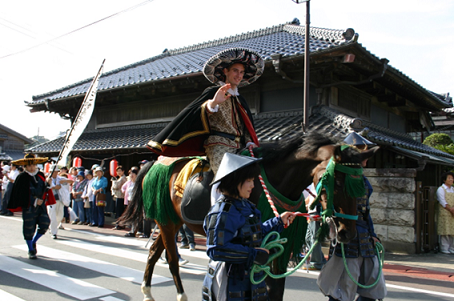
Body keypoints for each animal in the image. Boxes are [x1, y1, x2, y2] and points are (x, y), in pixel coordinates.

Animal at [120, 130, 376, 300]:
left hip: (170, 221)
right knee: (172, 260)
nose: (347, 232)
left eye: (361, 185)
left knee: (154, 253)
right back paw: (180, 294)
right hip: (167, 221)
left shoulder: (280, 244)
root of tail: (157, 163)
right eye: (338, 182)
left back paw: (147, 292)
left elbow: (276, 288)